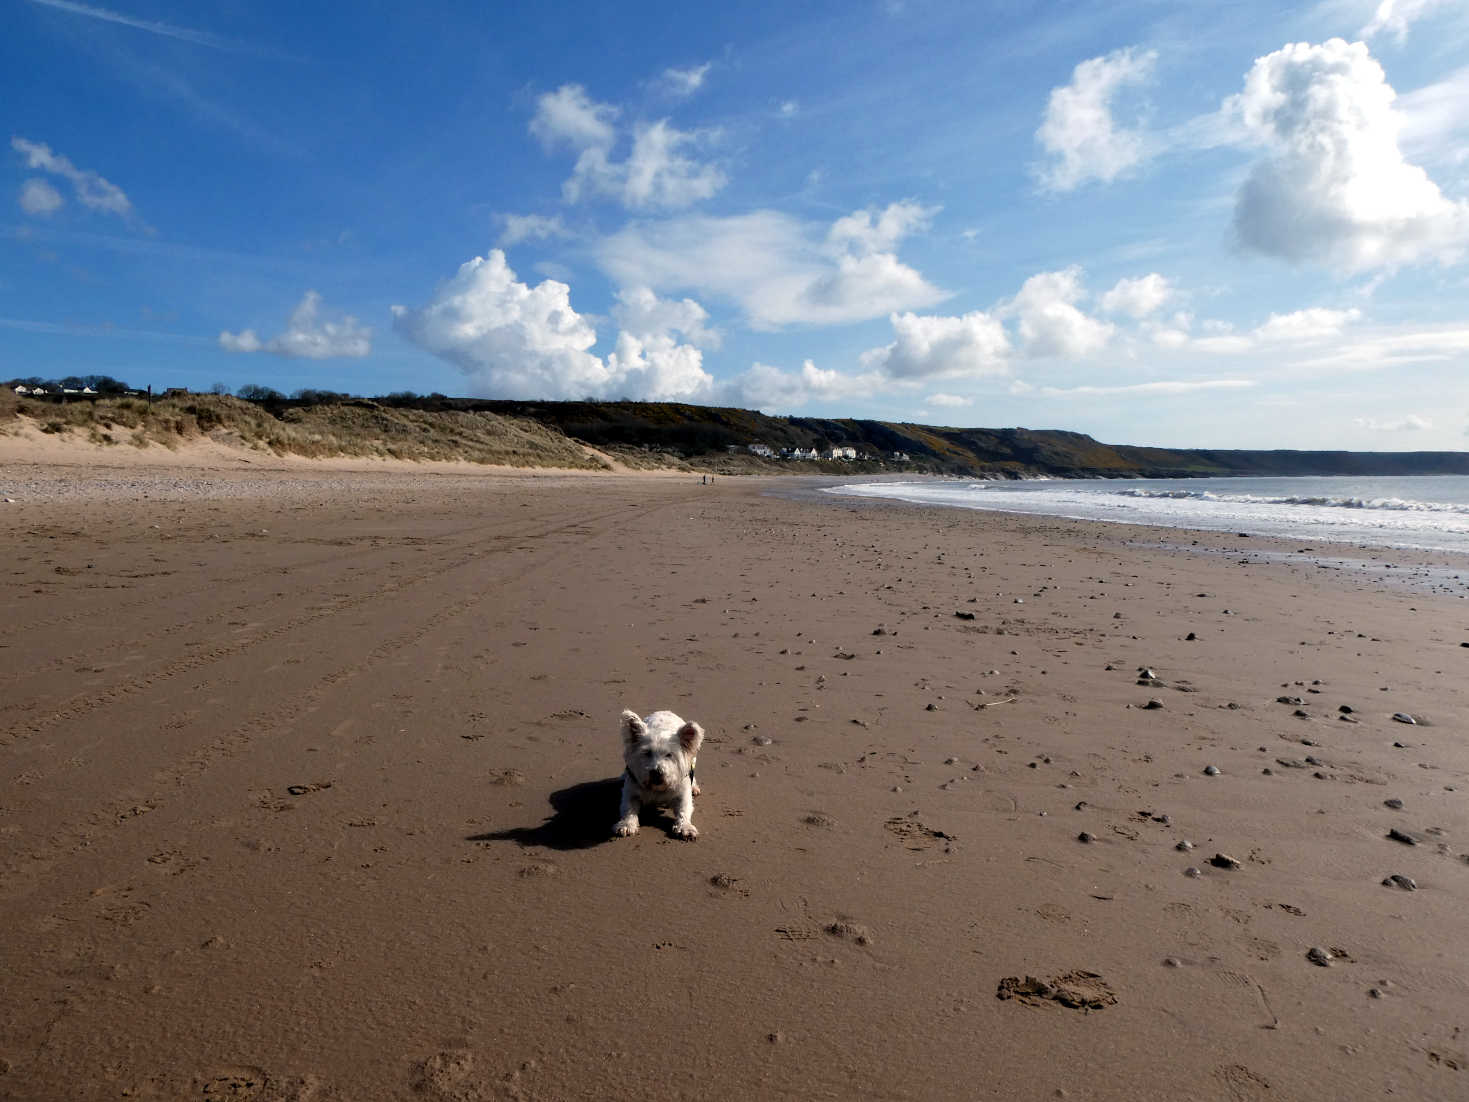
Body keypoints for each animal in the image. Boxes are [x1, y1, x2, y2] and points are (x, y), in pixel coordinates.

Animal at [614, 711, 705, 840]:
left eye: (669, 755)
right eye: (647, 753)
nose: (656, 772)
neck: (657, 789)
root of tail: (665, 711)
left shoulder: (682, 793)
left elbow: (684, 809)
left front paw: (685, 827)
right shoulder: (631, 790)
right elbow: (628, 808)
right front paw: (626, 825)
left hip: (693, 760)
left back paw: (695, 788)